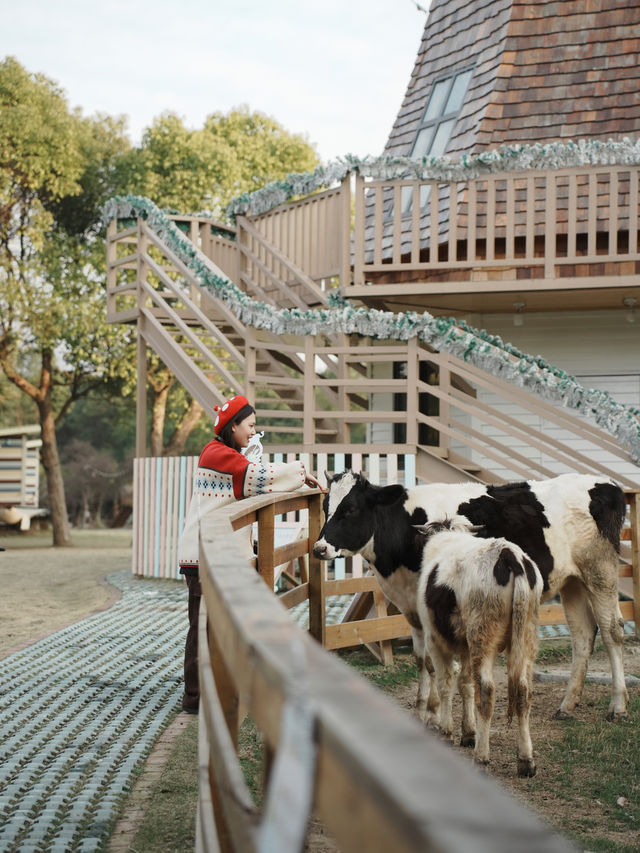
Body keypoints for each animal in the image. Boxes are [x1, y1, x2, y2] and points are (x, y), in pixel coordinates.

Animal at [312, 470, 628, 724]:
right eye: (326, 507)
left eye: (350, 509)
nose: (319, 548)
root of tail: (606, 484)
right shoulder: (413, 609)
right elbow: (421, 660)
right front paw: (422, 711)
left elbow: (438, 662)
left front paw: (436, 714)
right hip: (573, 581)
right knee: (583, 634)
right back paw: (567, 705)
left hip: (600, 571)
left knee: (611, 631)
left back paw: (618, 706)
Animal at [412, 516, 544, 776]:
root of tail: (509, 555)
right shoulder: (465, 648)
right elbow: (465, 684)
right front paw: (468, 732)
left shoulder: (435, 641)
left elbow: (446, 684)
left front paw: (447, 732)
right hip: (525, 639)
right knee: (523, 692)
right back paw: (526, 760)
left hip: (482, 639)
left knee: (486, 692)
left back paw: (481, 757)